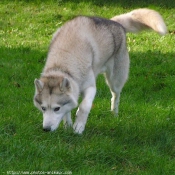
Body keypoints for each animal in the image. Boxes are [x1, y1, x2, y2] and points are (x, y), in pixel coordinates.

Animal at [33, 8, 167, 134]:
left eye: (56, 108)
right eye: (43, 108)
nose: (46, 129)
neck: (62, 66)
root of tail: (115, 22)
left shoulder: (91, 87)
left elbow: (84, 106)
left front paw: (78, 127)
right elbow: (68, 110)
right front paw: (68, 125)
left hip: (115, 80)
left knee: (116, 96)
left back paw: (114, 113)